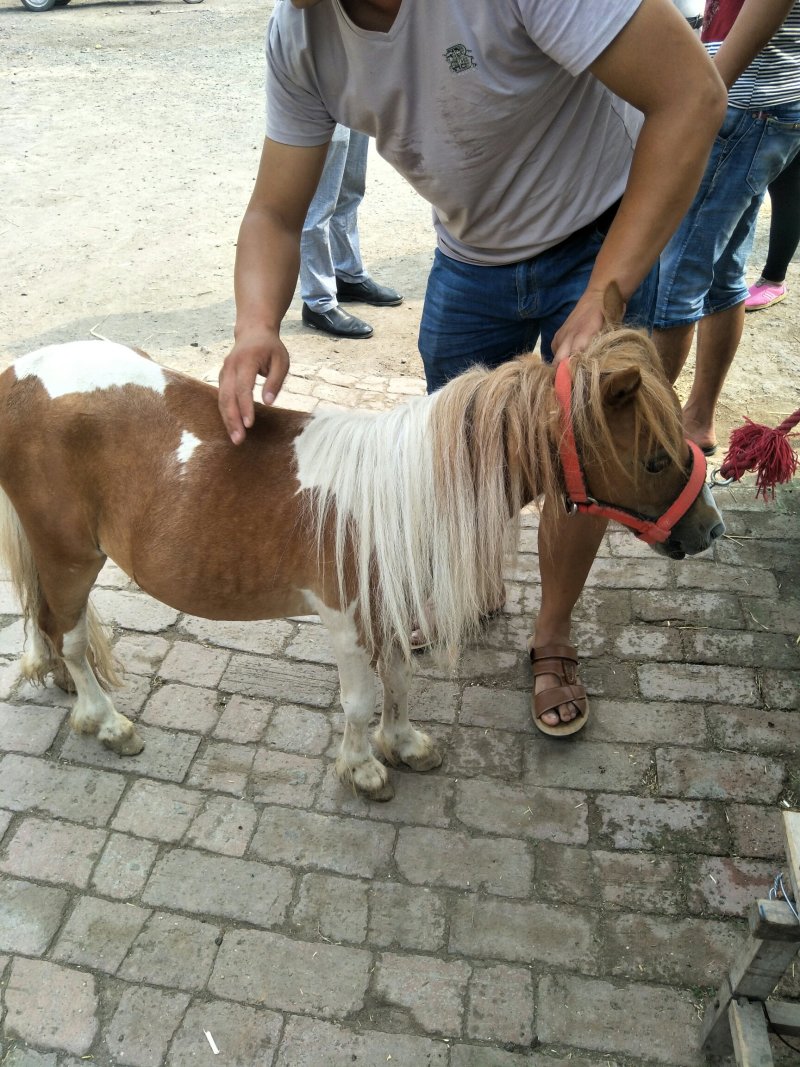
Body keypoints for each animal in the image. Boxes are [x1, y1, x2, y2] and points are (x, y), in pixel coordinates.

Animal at [0, 328, 724, 800]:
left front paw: (401, 744)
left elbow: (399, 680)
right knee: (69, 635)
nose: (710, 529)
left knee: (53, 626)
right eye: (654, 458)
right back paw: (104, 720)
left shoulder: (388, 607)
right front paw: (364, 769)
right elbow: (360, 698)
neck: (401, 493)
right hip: (70, 553)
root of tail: (17, 376)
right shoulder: (346, 618)